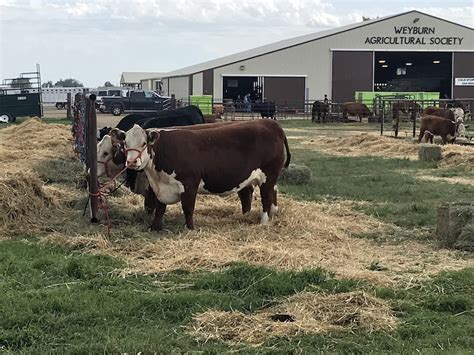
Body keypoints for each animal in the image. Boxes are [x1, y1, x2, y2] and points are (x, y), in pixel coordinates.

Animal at [120, 119, 290, 231]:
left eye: (143, 143)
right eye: (125, 144)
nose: (132, 162)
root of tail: (270, 123)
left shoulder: (189, 183)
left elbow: (188, 208)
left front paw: (190, 228)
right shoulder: (161, 188)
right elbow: (160, 209)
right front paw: (155, 227)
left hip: (268, 176)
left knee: (266, 197)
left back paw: (264, 221)